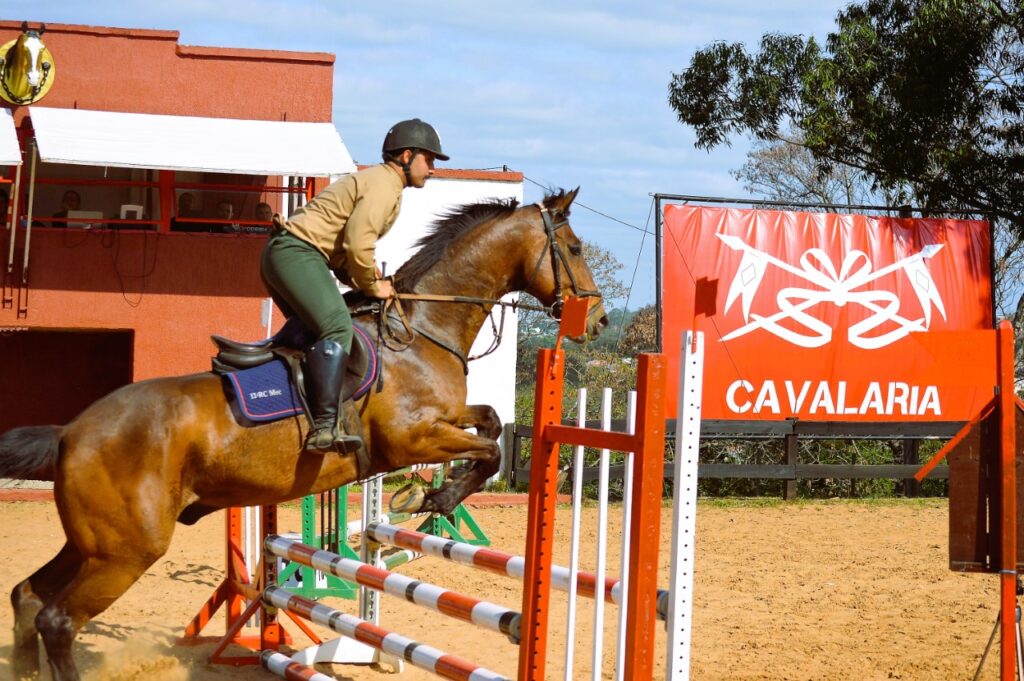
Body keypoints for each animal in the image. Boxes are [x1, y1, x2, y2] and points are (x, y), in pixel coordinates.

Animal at [0, 187, 606, 679]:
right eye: (576, 248)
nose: (598, 321)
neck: (422, 330)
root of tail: (70, 432)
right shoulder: (411, 439)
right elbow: (490, 450)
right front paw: (433, 498)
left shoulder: (444, 420)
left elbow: (493, 423)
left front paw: (428, 496)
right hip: (125, 552)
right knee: (57, 619)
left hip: (93, 544)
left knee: (27, 595)